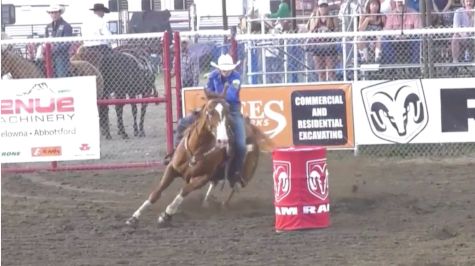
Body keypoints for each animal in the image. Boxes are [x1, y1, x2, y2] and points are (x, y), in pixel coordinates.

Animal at [125, 86, 276, 228]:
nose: (222, 141)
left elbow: (184, 191)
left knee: (234, 187)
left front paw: (166, 215)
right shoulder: (172, 169)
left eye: (227, 112)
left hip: (244, 175)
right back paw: (206, 203)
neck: (196, 149)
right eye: (209, 112)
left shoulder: (202, 178)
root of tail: (252, 129)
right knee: (216, 184)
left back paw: (222, 206)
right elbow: (156, 192)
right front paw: (134, 217)